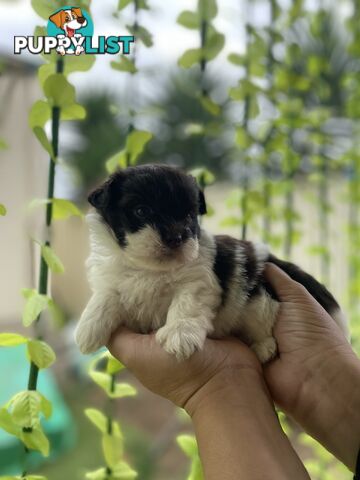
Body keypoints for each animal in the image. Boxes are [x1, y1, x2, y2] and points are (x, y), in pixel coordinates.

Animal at [76, 163, 348, 362]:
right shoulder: (111, 278)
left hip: (258, 303)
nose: (176, 237)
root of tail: (270, 258)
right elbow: (104, 297)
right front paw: (87, 329)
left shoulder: (198, 281)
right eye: (142, 211)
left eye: (189, 215)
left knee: (264, 323)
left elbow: (186, 304)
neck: (149, 267)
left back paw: (264, 348)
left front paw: (180, 334)